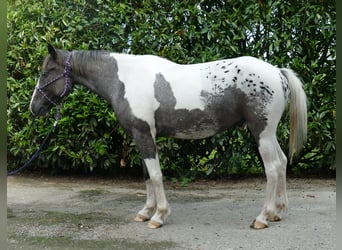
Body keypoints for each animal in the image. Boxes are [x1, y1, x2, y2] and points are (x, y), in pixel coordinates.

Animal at [29, 44, 308, 229]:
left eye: (45, 73)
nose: (34, 108)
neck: (125, 79)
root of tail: (277, 72)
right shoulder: (141, 136)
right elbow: (146, 175)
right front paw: (145, 212)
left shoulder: (144, 134)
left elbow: (155, 175)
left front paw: (159, 216)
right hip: (268, 134)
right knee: (282, 163)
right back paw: (277, 212)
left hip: (261, 133)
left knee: (272, 169)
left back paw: (262, 217)